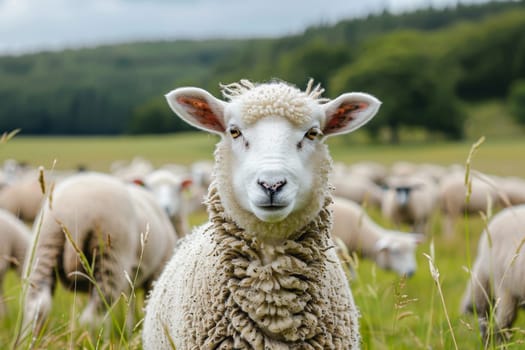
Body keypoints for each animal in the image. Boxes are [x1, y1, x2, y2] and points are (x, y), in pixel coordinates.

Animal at [22, 172, 178, 336]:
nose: (168, 208)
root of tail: (76, 212)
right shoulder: (157, 272)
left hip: (45, 244)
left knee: (37, 305)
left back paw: (30, 337)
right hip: (111, 253)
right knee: (93, 316)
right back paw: (94, 338)